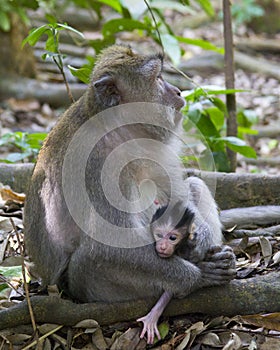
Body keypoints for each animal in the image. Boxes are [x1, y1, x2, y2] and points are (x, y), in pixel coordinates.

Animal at [24, 46, 235, 320]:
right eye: (157, 78)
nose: (178, 92)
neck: (119, 128)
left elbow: (178, 198)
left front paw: (200, 240)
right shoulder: (96, 165)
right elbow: (111, 245)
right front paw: (198, 276)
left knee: (196, 185)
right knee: (87, 260)